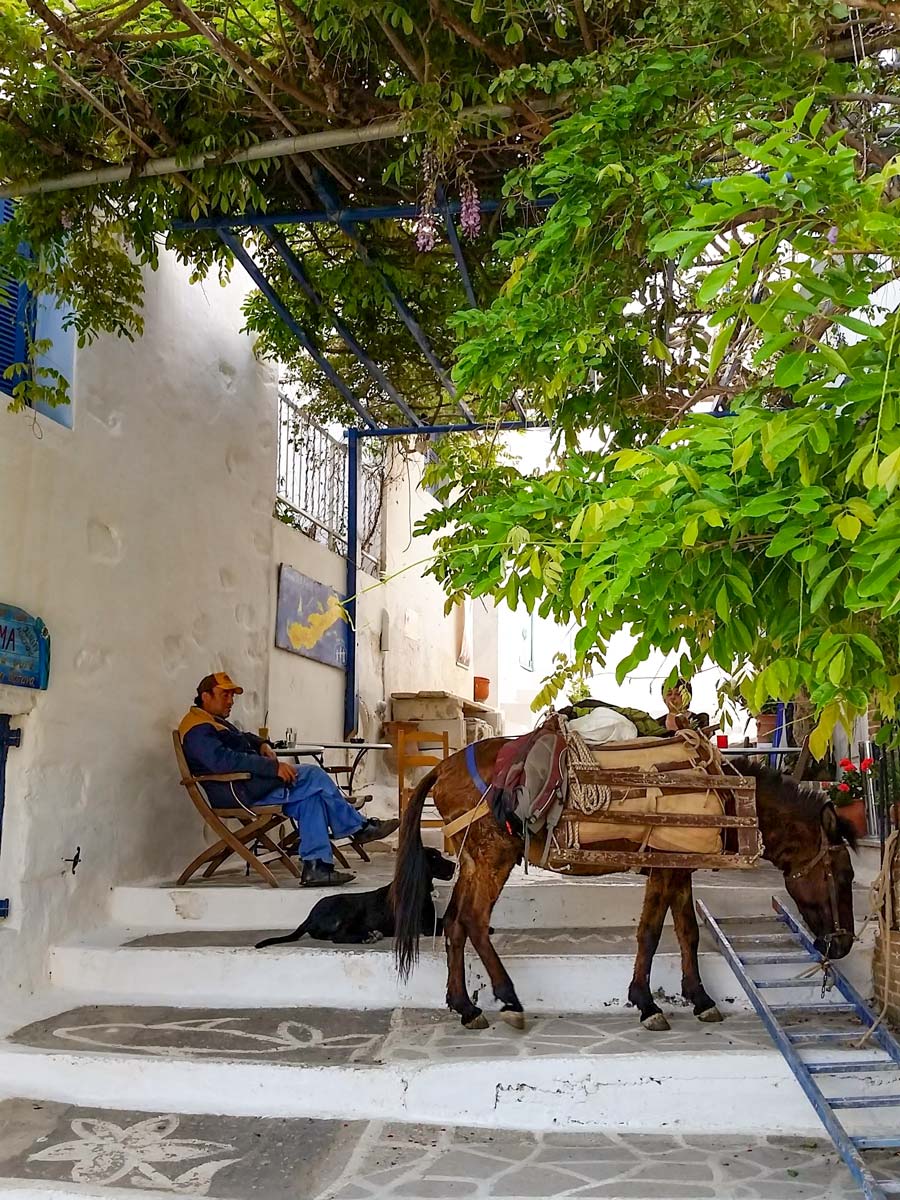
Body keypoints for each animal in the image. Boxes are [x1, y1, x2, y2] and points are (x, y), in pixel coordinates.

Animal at [255, 844, 458, 945]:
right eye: (434, 857)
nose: (455, 865)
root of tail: (309, 916)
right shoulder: (426, 926)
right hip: (347, 908)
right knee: (337, 937)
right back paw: (367, 937)